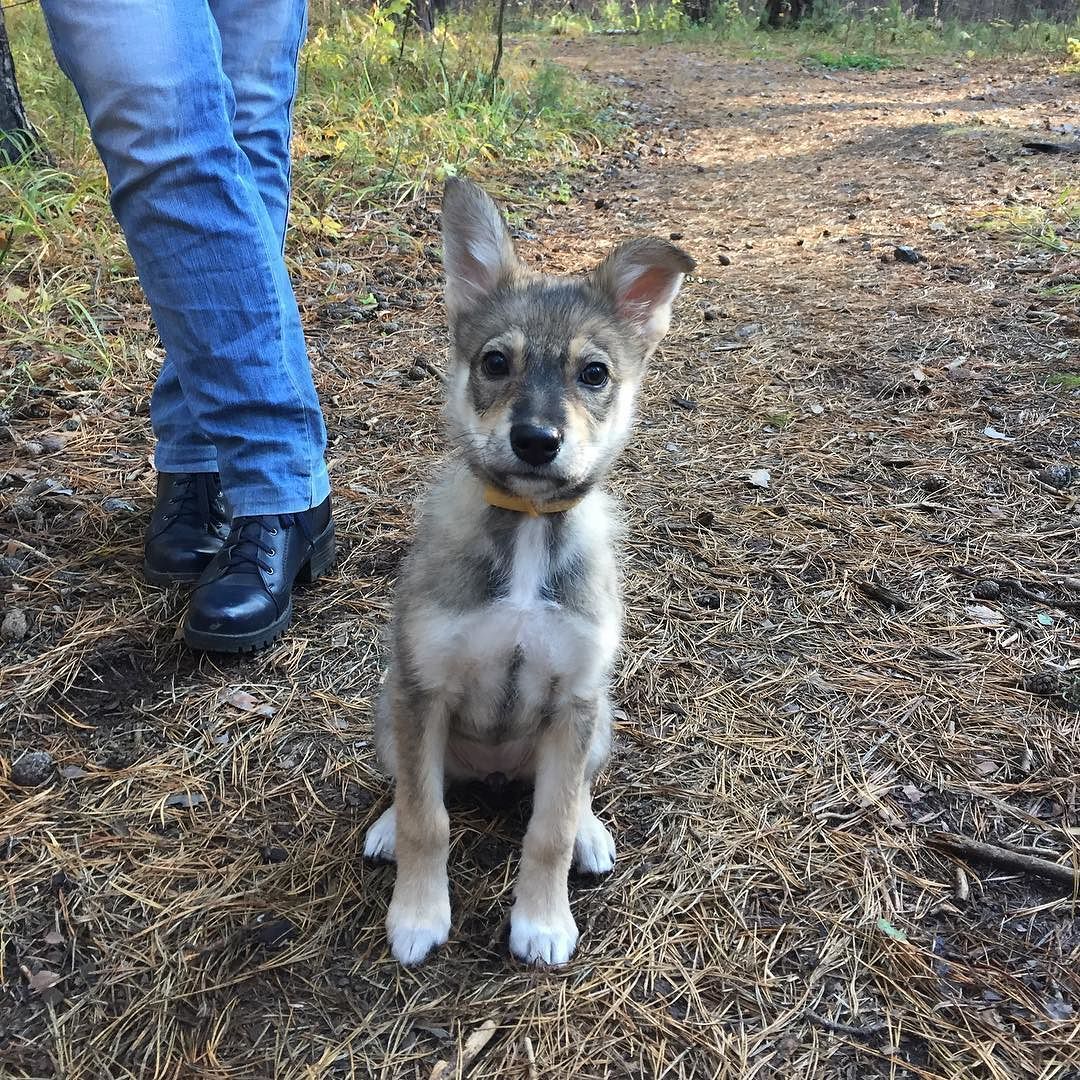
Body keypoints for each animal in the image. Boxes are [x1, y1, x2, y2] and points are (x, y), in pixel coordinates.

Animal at [367, 179, 695, 972]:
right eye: (494, 363)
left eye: (593, 373)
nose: (537, 441)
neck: (526, 532)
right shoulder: (423, 688)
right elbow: (428, 818)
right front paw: (418, 913)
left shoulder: (574, 699)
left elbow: (548, 829)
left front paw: (542, 922)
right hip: (390, 705)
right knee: (414, 788)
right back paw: (388, 823)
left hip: (600, 720)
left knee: (571, 799)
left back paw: (590, 833)